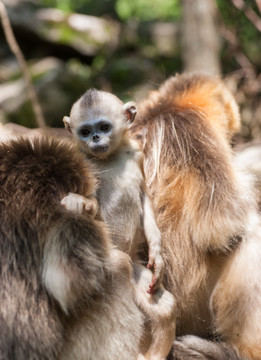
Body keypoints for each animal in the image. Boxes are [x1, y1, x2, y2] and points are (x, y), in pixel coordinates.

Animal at [63, 89, 162, 292]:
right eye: (85, 132)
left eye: (104, 127)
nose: (95, 138)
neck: (109, 158)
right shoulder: (80, 161)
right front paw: (80, 202)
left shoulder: (137, 153)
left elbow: (144, 195)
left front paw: (157, 254)